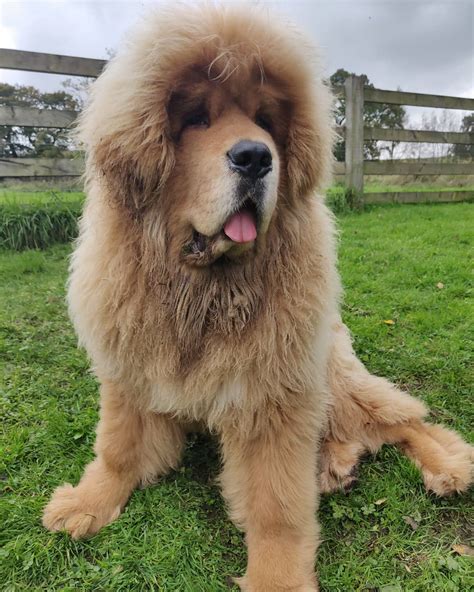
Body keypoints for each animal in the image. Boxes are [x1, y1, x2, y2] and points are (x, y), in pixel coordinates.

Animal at [42, 5, 472, 592]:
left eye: (266, 120)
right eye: (195, 118)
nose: (255, 156)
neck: (203, 287)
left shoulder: (272, 397)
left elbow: (276, 505)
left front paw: (277, 578)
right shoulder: (130, 368)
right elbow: (119, 447)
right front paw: (89, 502)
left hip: (331, 373)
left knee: (399, 419)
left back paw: (445, 466)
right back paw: (333, 467)